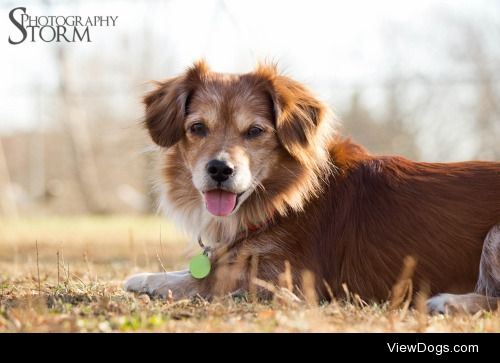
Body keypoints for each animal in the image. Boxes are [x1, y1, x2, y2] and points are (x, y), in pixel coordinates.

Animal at [122, 61, 500, 314]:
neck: (283, 199)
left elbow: (211, 277)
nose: (219, 169)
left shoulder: (292, 280)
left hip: (495, 234)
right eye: (197, 128)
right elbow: (203, 268)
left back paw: (451, 301)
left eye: (255, 131)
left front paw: (144, 280)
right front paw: (149, 279)